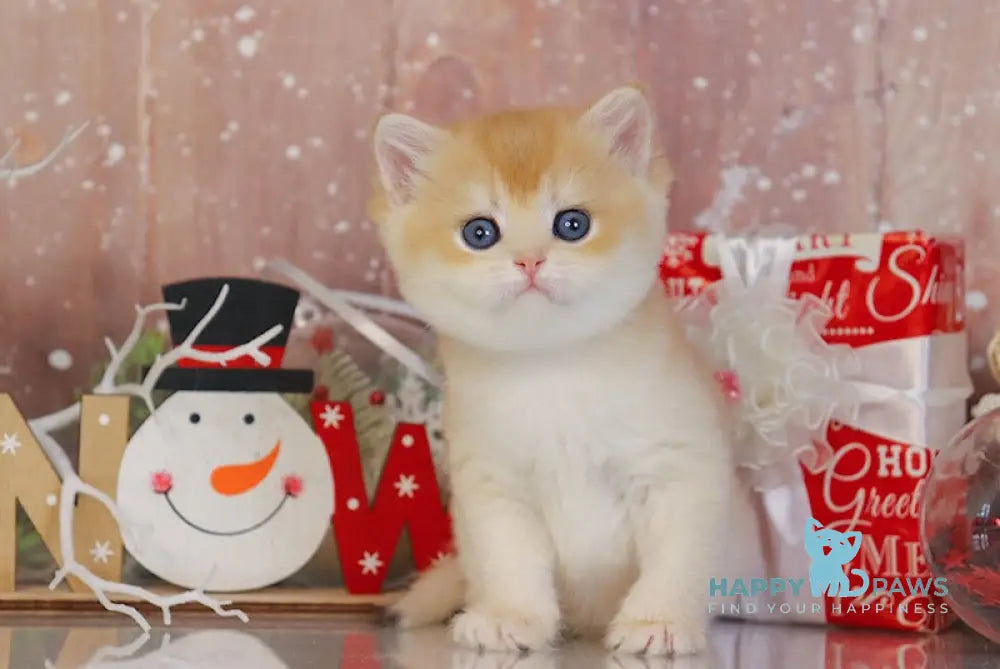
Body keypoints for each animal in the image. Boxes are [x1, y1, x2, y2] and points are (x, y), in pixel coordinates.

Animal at [366, 86, 728, 656]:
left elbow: (676, 559)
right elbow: (510, 561)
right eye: (480, 232)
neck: (552, 366)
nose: (530, 262)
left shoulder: (681, 471)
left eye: (572, 224)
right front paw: (510, 616)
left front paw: (658, 620)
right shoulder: (493, 488)